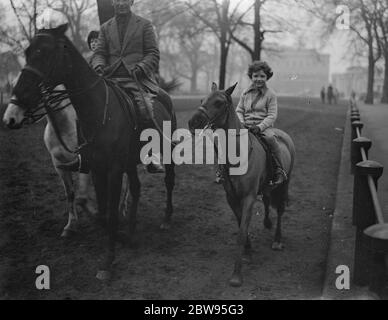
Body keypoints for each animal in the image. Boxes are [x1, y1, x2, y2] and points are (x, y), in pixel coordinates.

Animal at [189, 83, 296, 288]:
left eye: (219, 102)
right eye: (202, 100)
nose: (193, 122)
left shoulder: (248, 198)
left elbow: (241, 233)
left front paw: (236, 276)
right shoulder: (231, 198)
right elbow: (241, 226)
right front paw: (248, 252)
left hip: (284, 184)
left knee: (279, 210)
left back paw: (277, 240)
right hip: (266, 187)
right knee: (267, 201)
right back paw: (267, 223)